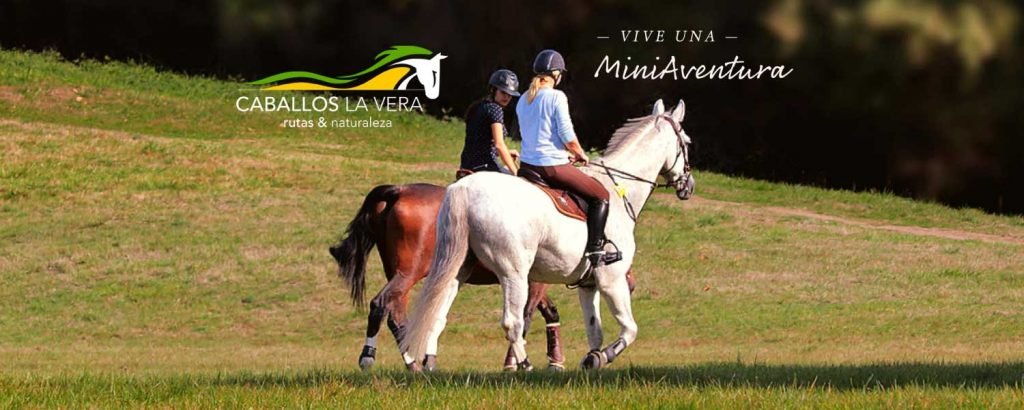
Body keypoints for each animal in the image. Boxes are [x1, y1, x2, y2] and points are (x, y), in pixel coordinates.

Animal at [329, 183, 637, 371]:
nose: (631, 283)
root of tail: (397, 191)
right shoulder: (530, 280)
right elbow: (526, 317)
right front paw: (518, 362)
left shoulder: (528, 279)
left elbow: (547, 313)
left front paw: (554, 360)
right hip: (408, 273)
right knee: (382, 305)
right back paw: (378, 357)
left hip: (402, 274)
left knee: (397, 313)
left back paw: (413, 360)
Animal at [401, 98, 693, 370]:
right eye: (687, 143)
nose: (688, 186)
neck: (620, 190)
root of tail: (464, 188)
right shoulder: (612, 280)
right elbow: (630, 329)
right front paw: (604, 356)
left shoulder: (588, 284)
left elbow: (594, 330)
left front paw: (592, 358)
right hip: (514, 274)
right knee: (512, 321)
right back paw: (525, 365)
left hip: (458, 269)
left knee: (437, 312)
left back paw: (429, 364)